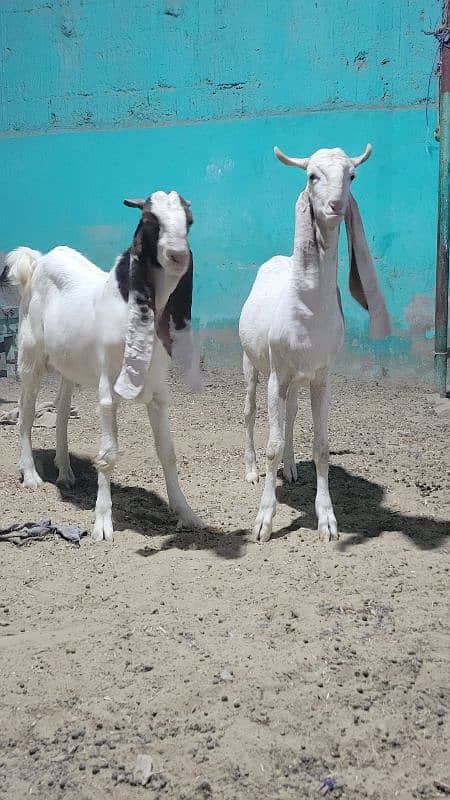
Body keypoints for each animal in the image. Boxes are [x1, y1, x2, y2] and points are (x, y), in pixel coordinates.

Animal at [7, 191, 203, 540]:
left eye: (189, 221)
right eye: (150, 219)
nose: (178, 255)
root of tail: (37, 261)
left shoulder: (158, 390)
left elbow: (167, 451)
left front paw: (186, 513)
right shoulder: (108, 389)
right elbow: (108, 455)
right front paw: (102, 523)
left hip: (68, 364)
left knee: (61, 411)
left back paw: (66, 472)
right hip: (31, 357)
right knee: (26, 414)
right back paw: (31, 475)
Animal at [239, 145, 390, 544]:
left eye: (352, 175)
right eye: (311, 175)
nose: (337, 204)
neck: (306, 314)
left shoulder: (321, 374)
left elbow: (321, 446)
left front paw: (327, 522)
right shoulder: (277, 372)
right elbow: (272, 445)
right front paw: (263, 523)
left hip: (296, 378)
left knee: (290, 413)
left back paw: (292, 470)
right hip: (251, 361)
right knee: (250, 410)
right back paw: (251, 470)